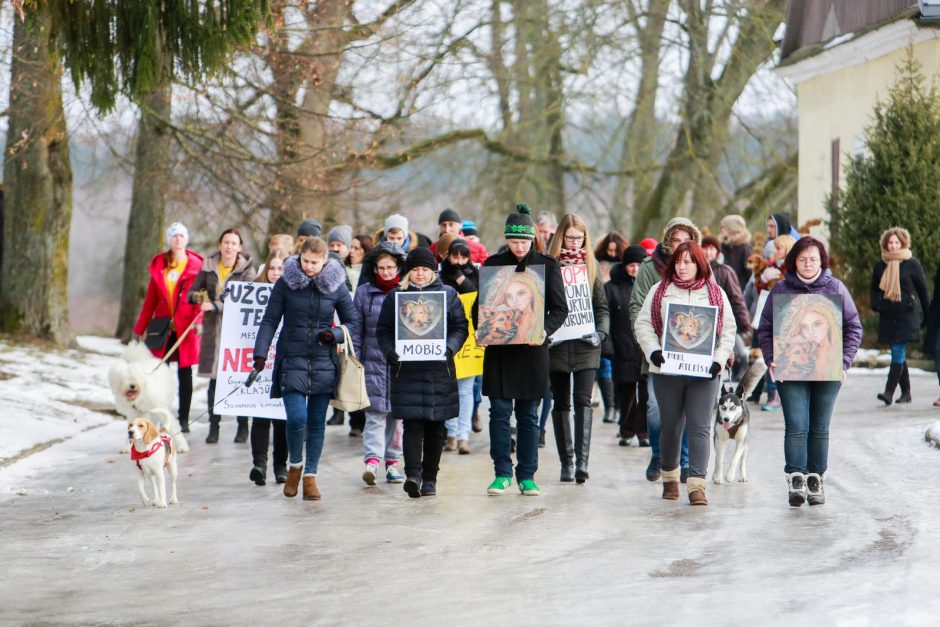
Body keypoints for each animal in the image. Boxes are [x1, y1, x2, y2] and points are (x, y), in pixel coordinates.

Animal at [716, 358, 768, 486]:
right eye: (723, 407)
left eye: (733, 408)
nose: (726, 419)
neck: (732, 425)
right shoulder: (720, 440)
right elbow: (719, 460)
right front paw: (718, 477)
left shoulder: (741, 442)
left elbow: (735, 459)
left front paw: (729, 475)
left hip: (746, 444)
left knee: (742, 461)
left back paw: (742, 476)